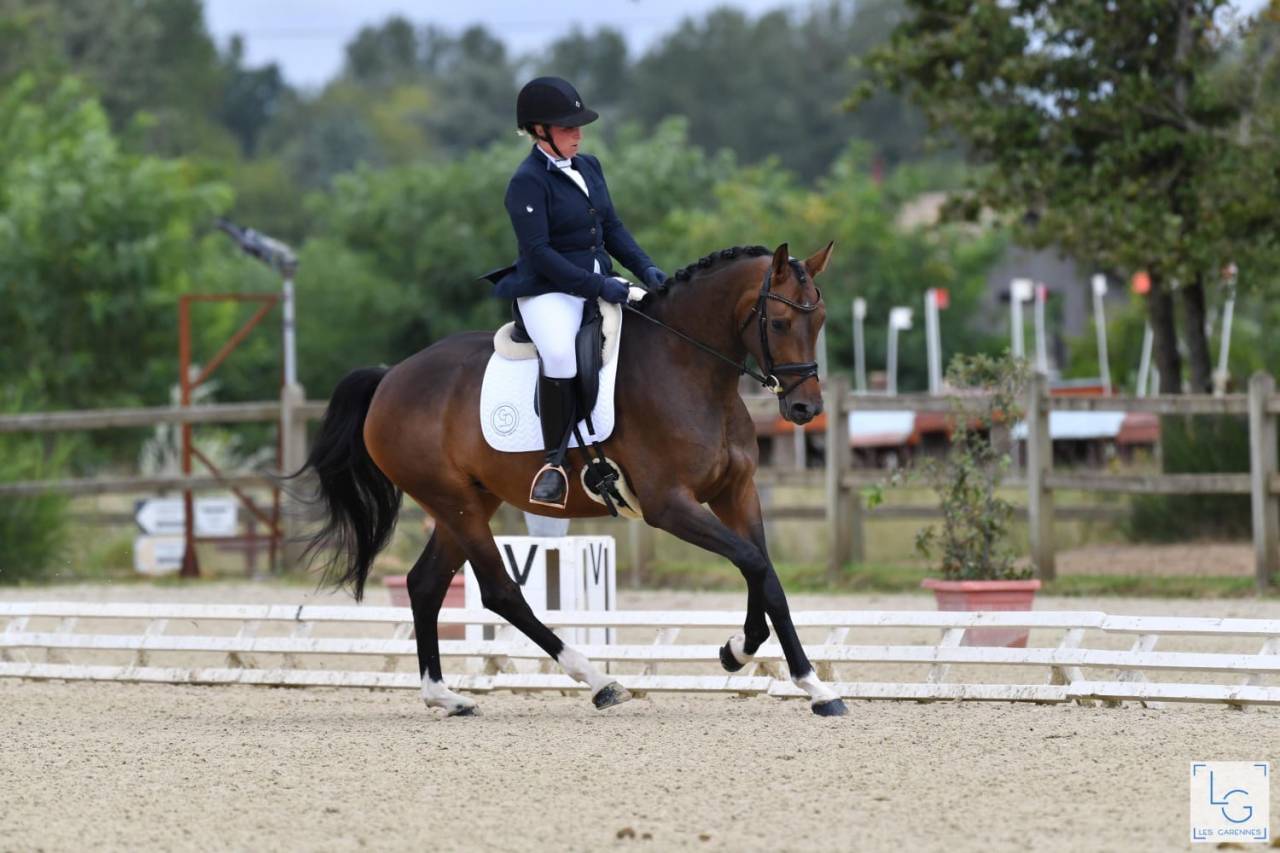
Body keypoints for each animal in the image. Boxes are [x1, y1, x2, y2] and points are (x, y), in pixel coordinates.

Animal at [299, 241, 848, 716]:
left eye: (819, 319)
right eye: (779, 322)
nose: (805, 409)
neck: (689, 368)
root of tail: (390, 377)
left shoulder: (736, 493)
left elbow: (764, 572)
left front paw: (791, 675)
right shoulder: (669, 505)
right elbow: (752, 562)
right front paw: (765, 661)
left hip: (467, 502)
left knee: (425, 584)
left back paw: (446, 697)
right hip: (453, 501)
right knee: (500, 591)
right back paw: (599, 681)